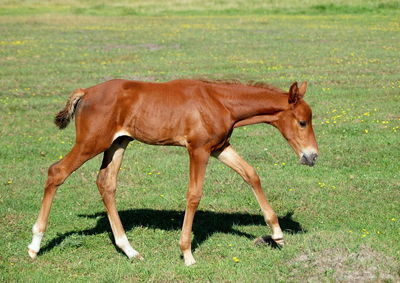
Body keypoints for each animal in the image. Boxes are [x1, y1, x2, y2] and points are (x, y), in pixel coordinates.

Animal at [28, 79, 318, 266]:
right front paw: (187, 254)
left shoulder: (219, 148)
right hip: (92, 142)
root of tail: (86, 92)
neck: (219, 102)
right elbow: (194, 195)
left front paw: (277, 234)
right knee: (56, 172)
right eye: (302, 122)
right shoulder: (198, 150)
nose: (312, 156)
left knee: (105, 183)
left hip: (118, 143)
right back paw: (34, 245)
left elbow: (251, 174)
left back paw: (130, 251)